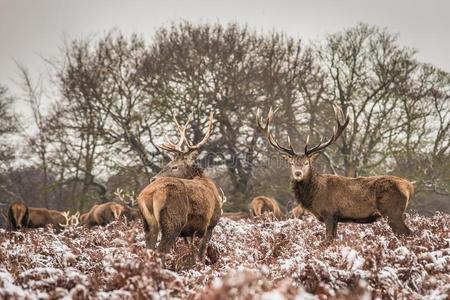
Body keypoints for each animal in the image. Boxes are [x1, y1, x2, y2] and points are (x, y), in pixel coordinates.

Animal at [136, 112, 222, 260]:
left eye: (174, 166)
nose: (153, 178)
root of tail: (148, 195)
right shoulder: (210, 224)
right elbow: (201, 254)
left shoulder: (188, 232)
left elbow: (191, 252)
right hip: (173, 222)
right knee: (160, 252)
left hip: (148, 225)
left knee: (148, 251)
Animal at [256, 105, 414, 239]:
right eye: (292, 163)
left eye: (307, 163)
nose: (298, 173)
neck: (313, 196)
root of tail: (408, 186)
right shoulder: (337, 218)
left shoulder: (329, 213)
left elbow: (328, 239)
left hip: (392, 212)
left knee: (407, 233)